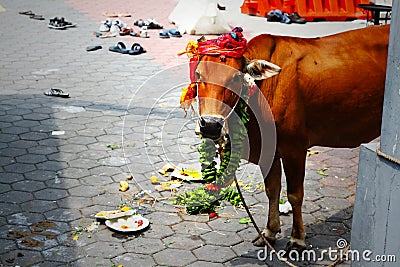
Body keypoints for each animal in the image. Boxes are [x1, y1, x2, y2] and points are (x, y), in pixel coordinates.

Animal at [194, 25, 390, 251]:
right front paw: (269, 232)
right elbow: (272, 190)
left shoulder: (294, 149)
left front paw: (297, 238)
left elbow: (295, 195)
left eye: (235, 77)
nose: (210, 124)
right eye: (198, 74)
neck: (261, 90)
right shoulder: (268, 151)